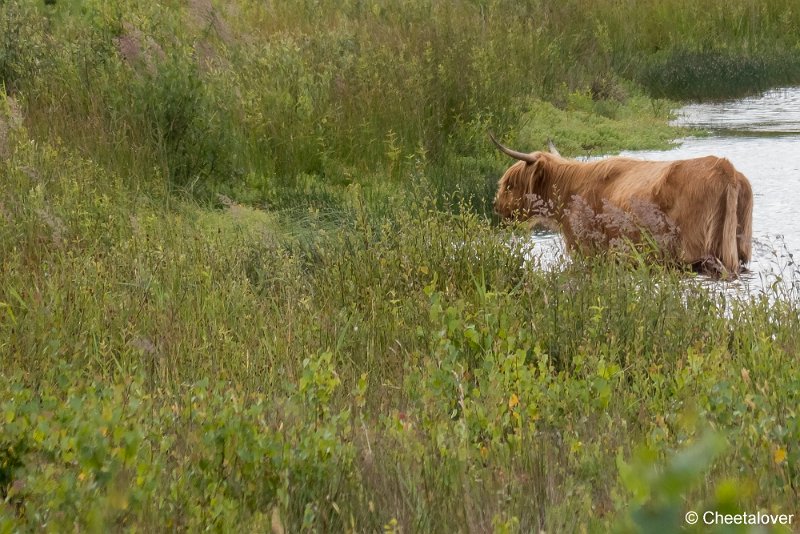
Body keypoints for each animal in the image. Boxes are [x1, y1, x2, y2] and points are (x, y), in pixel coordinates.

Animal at [490, 134, 752, 278]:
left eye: (510, 185)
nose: (497, 206)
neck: (571, 191)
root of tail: (726, 169)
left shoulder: (586, 248)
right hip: (740, 249)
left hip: (698, 252)